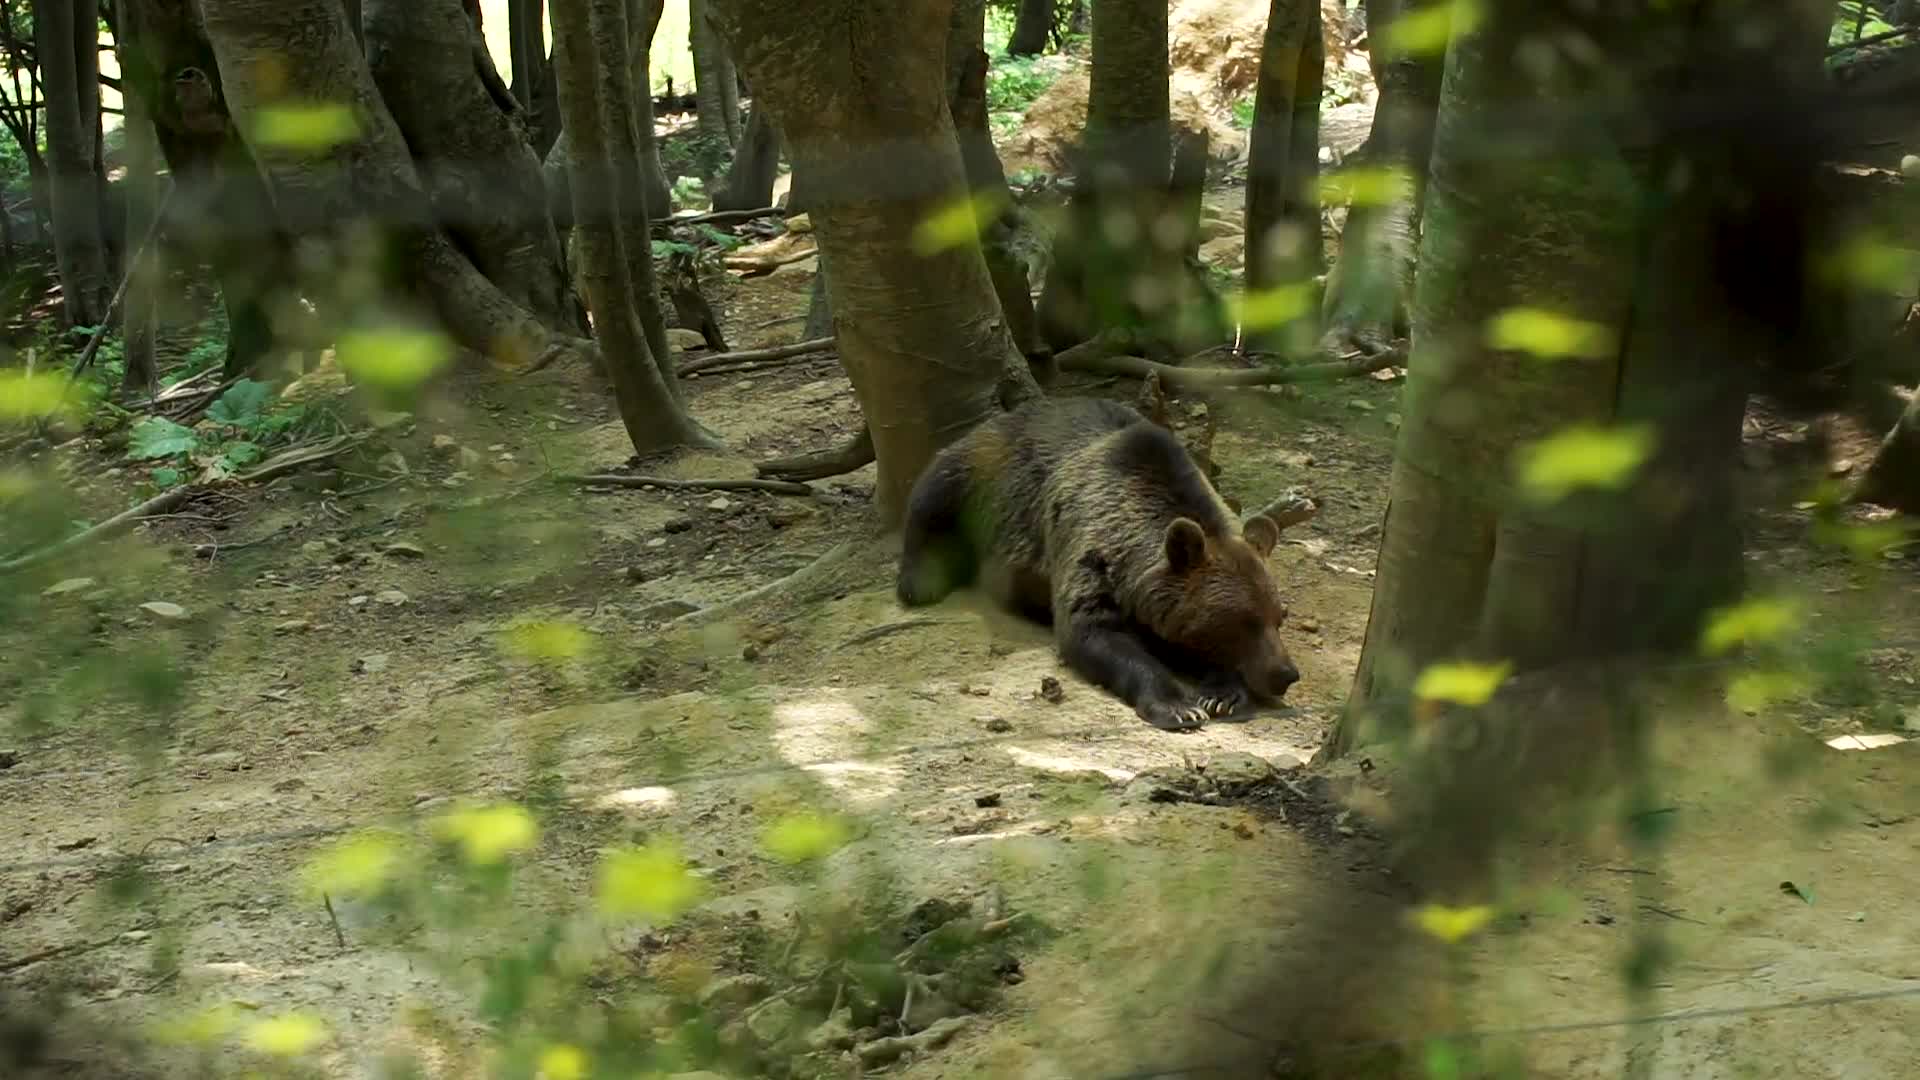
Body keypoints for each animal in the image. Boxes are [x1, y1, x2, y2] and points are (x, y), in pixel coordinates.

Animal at [895, 396, 1311, 730]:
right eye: (1243, 621)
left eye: (1280, 615)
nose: (1285, 674)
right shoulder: (1087, 556)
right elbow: (1095, 634)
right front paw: (1179, 706)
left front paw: (1222, 694)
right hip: (979, 468)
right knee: (932, 494)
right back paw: (920, 581)